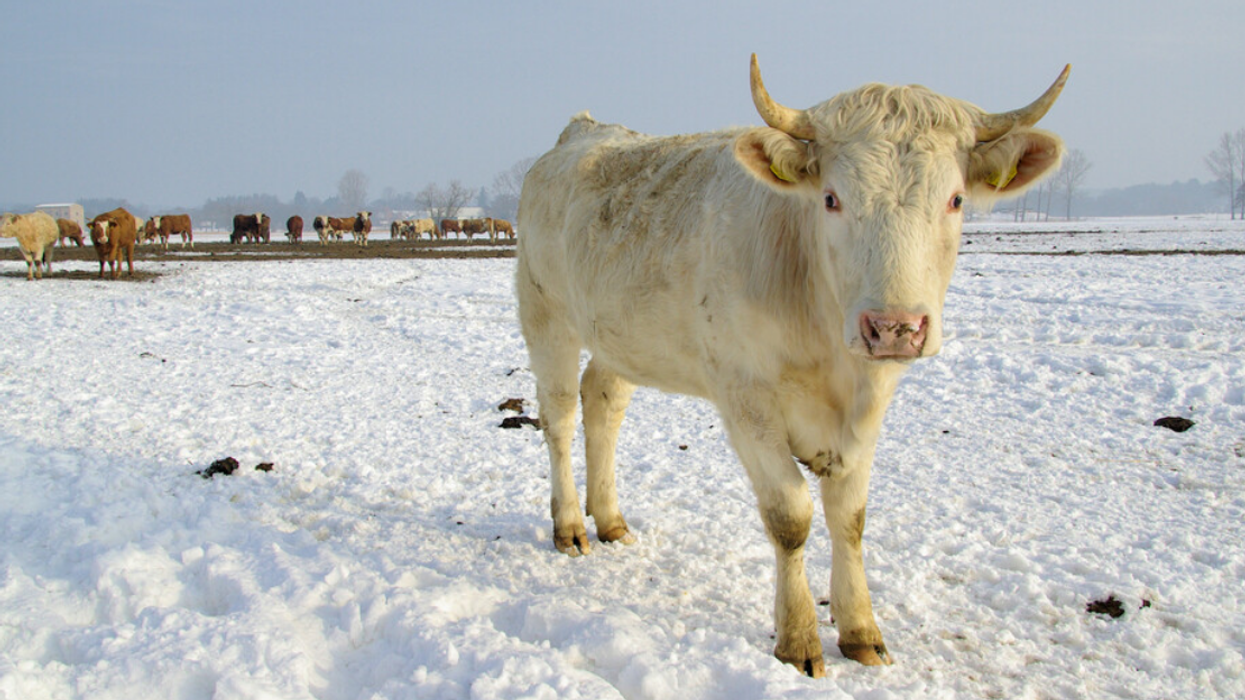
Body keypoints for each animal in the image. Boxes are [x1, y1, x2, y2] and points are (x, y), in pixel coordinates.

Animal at [515, 55, 1068, 676]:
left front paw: (861, 630)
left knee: (603, 404)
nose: (895, 327)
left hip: (620, 335)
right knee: (560, 416)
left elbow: (850, 516)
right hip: (546, 315)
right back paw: (569, 525)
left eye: (955, 200)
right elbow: (791, 515)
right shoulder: (745, 397)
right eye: (831, 198)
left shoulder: (870, 402)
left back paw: (609, 518)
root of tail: (583, 130)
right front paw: (799, 638)